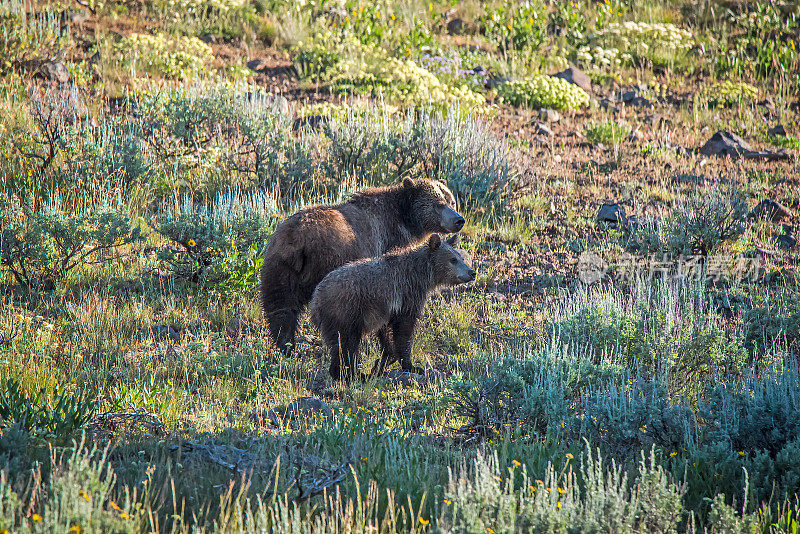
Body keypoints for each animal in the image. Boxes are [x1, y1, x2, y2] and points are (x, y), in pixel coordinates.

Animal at [260, 180, 466, 354]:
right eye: (438, 203)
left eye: (451, 201)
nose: (459, 220)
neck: (404, 219)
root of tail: (297, 238)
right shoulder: (388, 243)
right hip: (328, 259)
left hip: (278, 262)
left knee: (280, 305)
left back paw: (286, 345)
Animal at [308, 234, 472, 382]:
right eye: (453, 260)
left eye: (461, 258)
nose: (472, 272)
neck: (421, 275)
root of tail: (315, 299)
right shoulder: (407, 296)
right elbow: (404, 331)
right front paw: (411, 366)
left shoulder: (388, 309)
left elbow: (387, 332)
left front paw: (384, 360)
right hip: (346, 311)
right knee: (348, 343)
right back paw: (353, 375)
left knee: (338, 344)